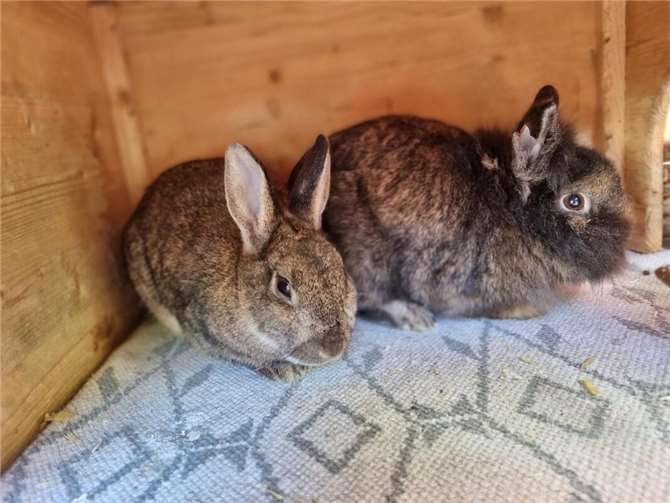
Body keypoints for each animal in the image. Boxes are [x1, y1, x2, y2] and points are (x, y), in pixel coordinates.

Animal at [322, 85, 629, 330]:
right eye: (575, 201)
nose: (624, 243)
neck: (512, 208)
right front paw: (527, 310)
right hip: (367, 257)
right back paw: (417, 318)